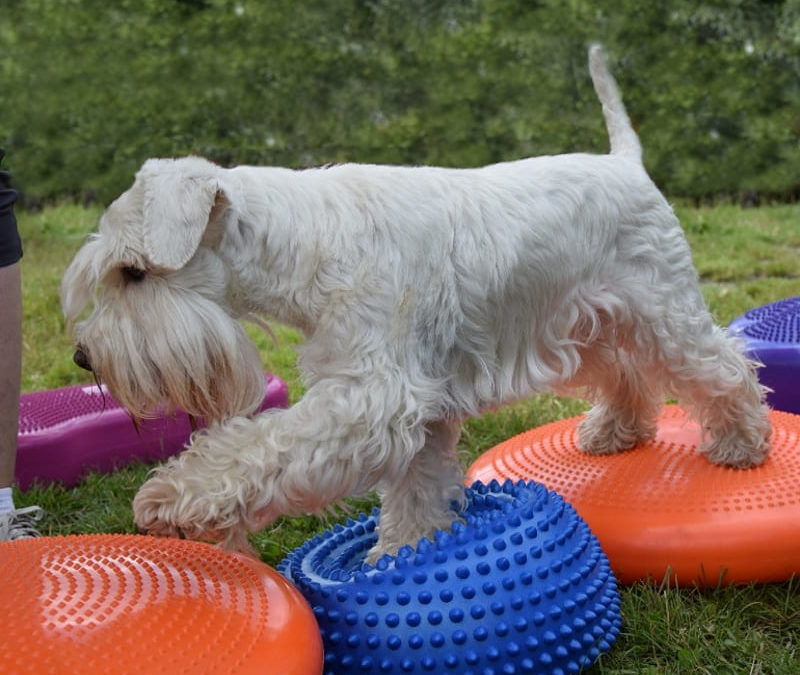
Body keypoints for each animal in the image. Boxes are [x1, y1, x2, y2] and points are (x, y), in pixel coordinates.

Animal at [59, 43, 772, 560]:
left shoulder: (372, 399)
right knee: (627, 375)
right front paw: (399, 557)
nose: (83, 358)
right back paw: (615, 432)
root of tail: (626, 163)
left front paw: (172, 497)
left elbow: (263, 446)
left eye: (132, 272)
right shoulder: (419, 407)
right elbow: (416, 492)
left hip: (665, 316)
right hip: (589, 326)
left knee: (722, 368)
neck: (305, 242)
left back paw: (742, 445)